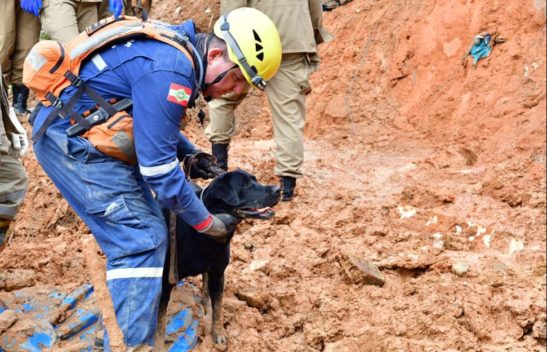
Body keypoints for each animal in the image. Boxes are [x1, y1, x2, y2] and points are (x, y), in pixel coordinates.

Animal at [157, 170, 278, 350]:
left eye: (255, 180)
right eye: (245, 185)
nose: (278, 189)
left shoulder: (218, 273)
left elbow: (218, 307)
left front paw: (218, 333)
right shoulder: (165, 280)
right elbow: (160, 322)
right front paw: (158, 346)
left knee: (206, 289)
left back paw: (206, 304)